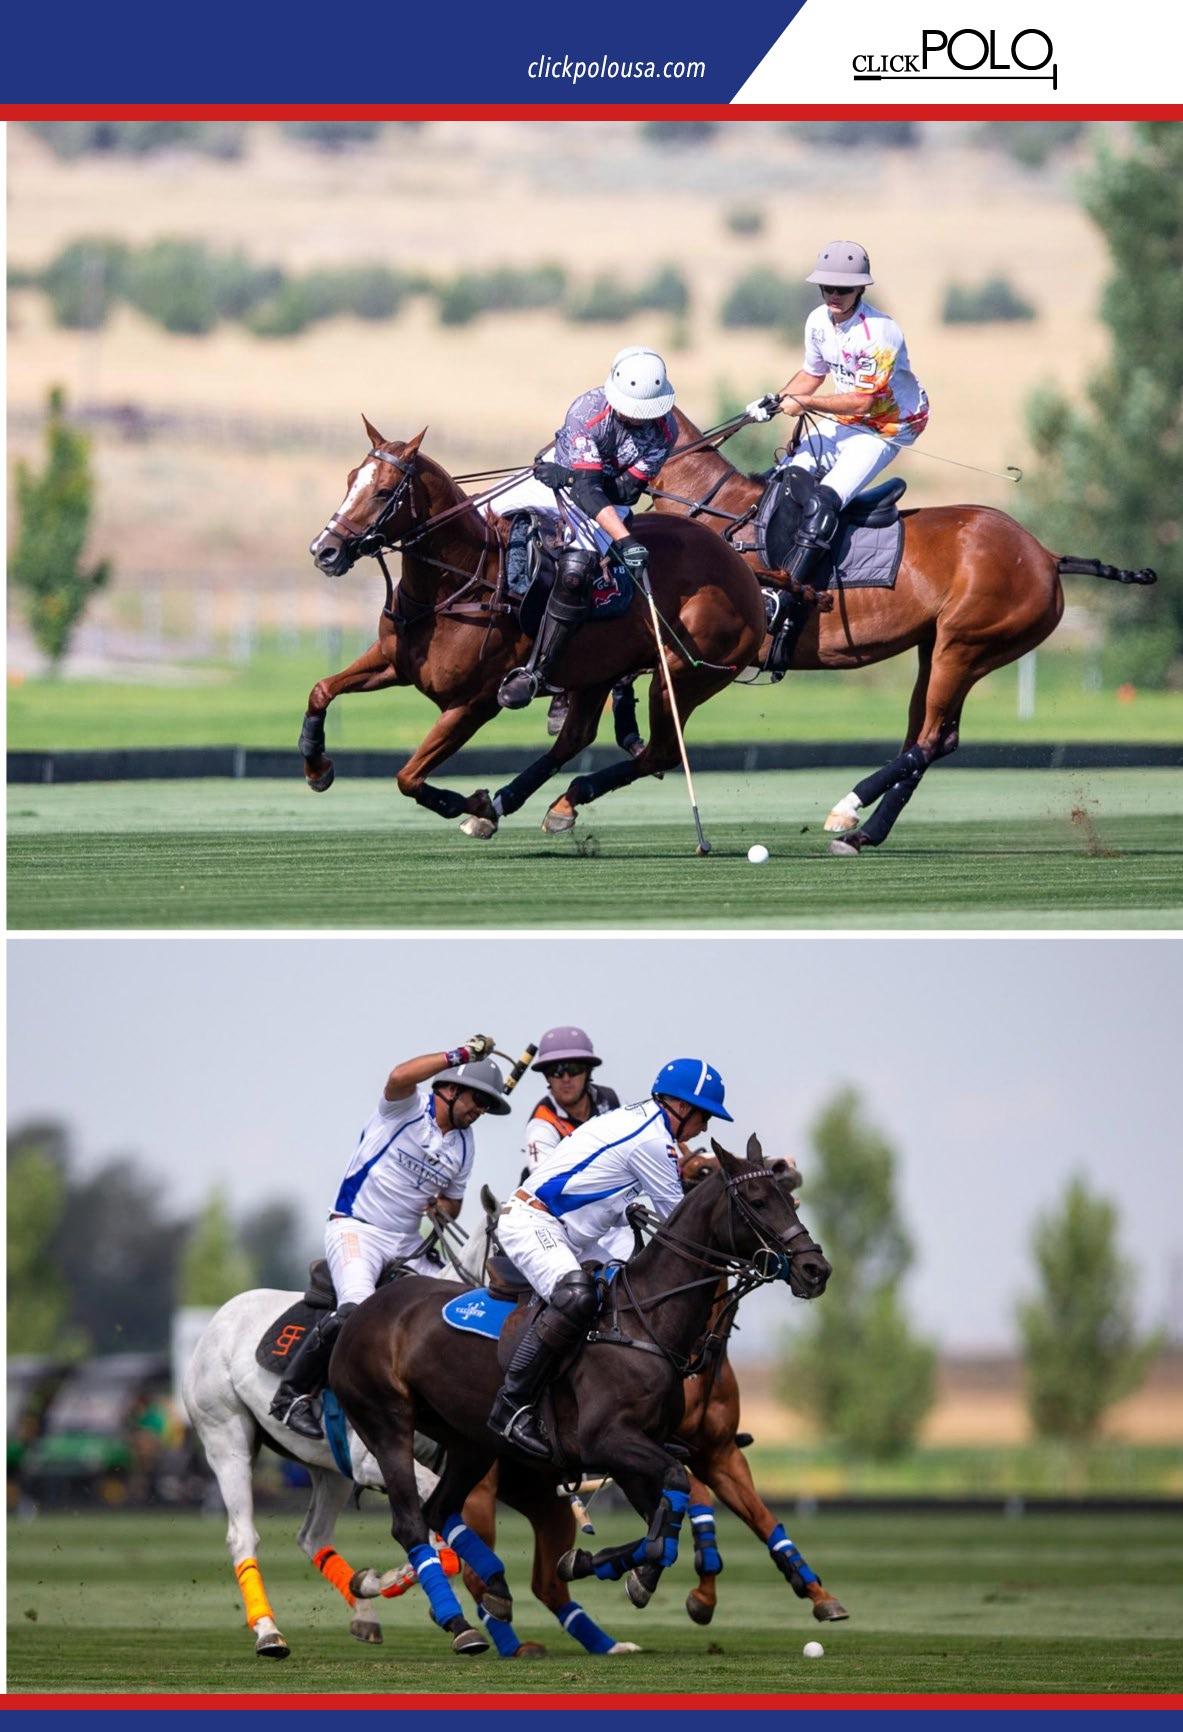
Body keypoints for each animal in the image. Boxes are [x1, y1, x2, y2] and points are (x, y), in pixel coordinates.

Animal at [182, 1286, 641, 1662]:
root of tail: (220, 1317)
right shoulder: (379, 1456)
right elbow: (434, 1520)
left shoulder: (512, 1475)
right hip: (227, 1438)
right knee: (242, 1534)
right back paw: (269, 1632)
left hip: (329, 1470)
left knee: (312, 1534)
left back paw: (366, 1603)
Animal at [302, 419, 765, 838]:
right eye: (350, 480)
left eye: (384, 492)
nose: (324, 551)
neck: (459, 581)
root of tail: (742, 568)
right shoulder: (392, 662)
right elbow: (321, 690)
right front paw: (317, 768)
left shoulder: (473, 703)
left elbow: (408, 777)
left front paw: (474, 802)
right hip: (600, 672)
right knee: (575, 738)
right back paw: (534, 803)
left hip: (681, 678)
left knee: (660, 754)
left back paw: (538, 802)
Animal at [328, 1136, 832, 1653]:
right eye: (758, 1201)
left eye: (789, 1199)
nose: (816, 1268)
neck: (644, 1321)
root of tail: (359, 1309)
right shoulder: (607, 1441)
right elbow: (674, 1495)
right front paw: (629, 1571)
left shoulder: (648, 1450)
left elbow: (667, 1518)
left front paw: (609, 1567)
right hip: (387, 1422)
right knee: (410, 1522)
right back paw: (459, 1623)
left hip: (469, 1441)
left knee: (440, 1510)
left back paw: (498, 1590)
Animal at [650, 408, 1157, 853]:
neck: (713, 510)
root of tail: (1047, 557)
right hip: (941, 650)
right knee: (932, 737)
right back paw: (864, 833)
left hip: (965, 645)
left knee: (932, 738)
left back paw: (847, 809)